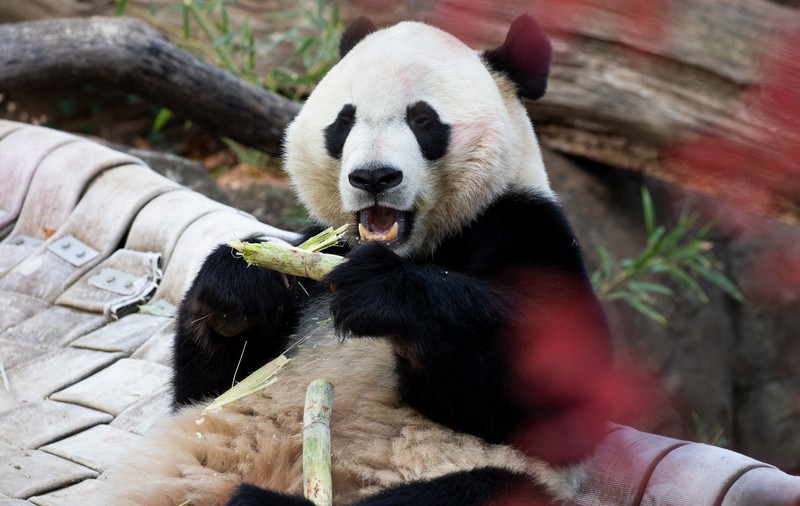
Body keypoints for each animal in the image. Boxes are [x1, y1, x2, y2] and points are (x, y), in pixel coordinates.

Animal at [107, 14, 613, 506]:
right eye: (344, 121)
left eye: (423, 119)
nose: (374, 177)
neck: (419, 248)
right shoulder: (318, 255)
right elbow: (209, 388)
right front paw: (242, 284)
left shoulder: (524, 228)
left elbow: (563, 399)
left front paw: (384, 294)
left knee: (473, 489)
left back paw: (264, 501)